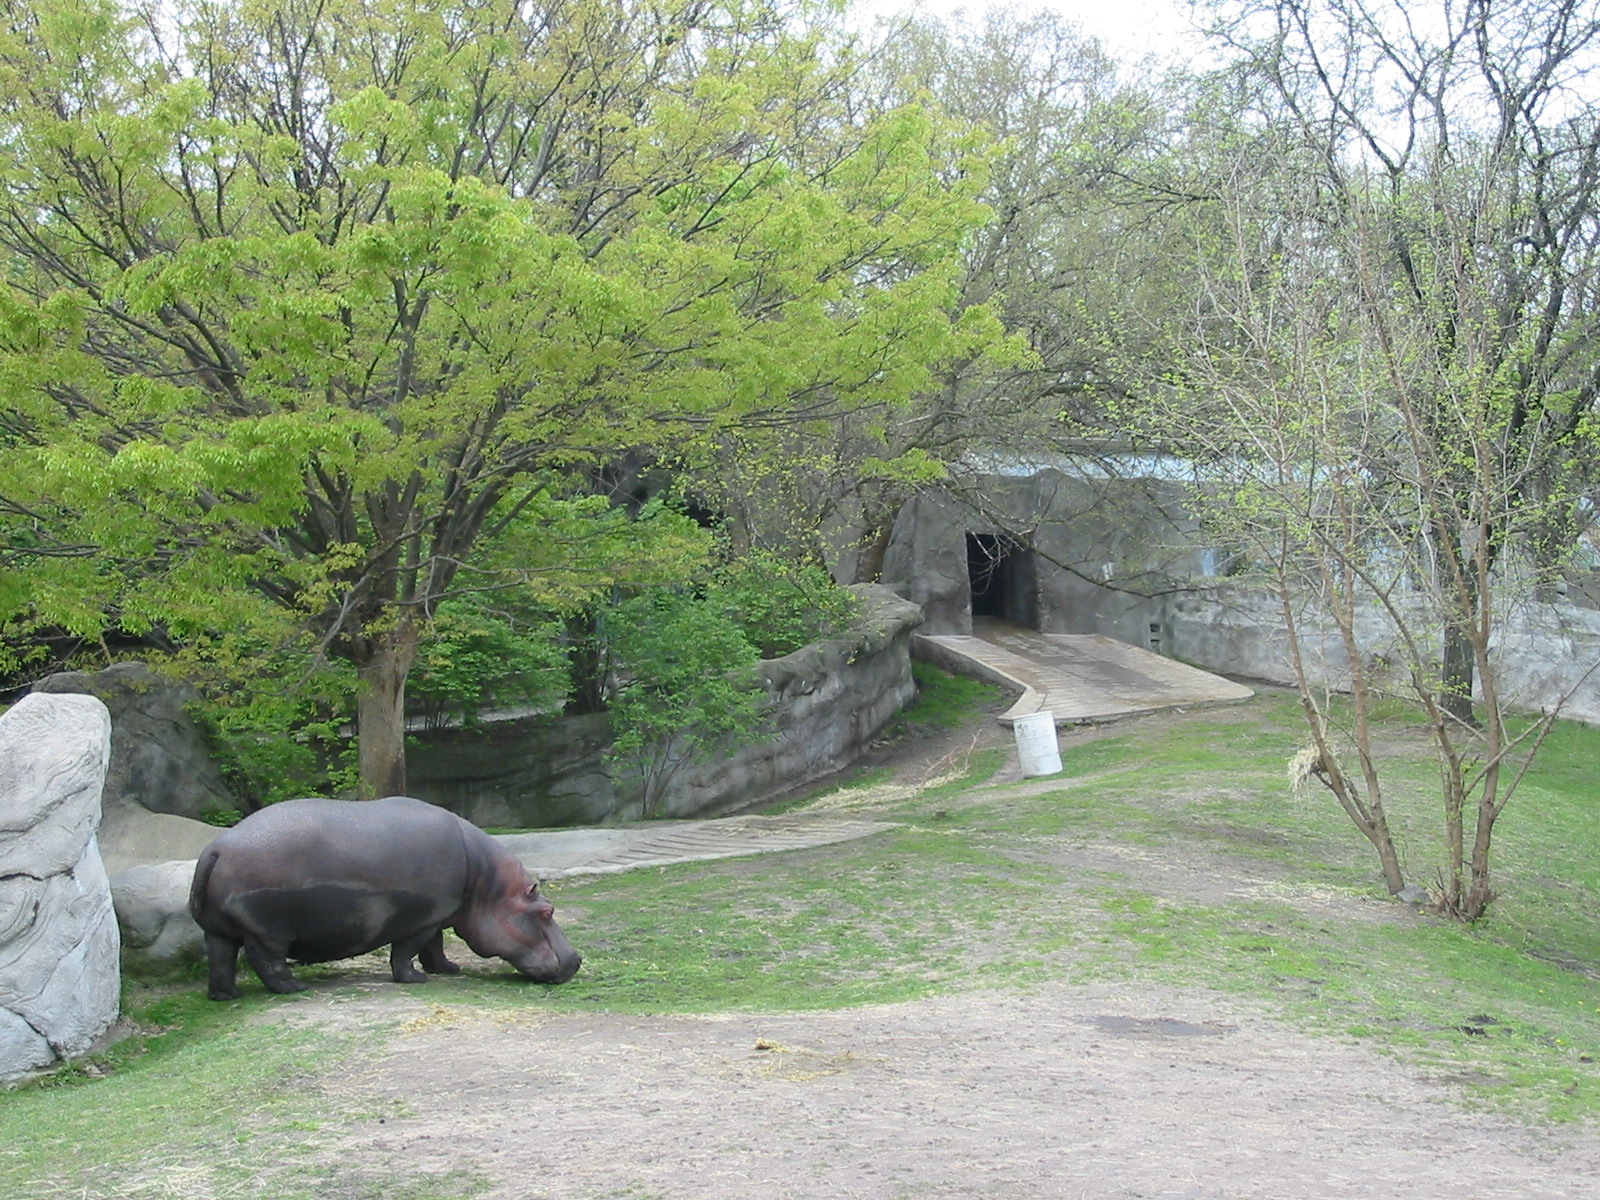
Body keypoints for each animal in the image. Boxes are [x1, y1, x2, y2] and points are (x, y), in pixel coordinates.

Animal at [189, 795, 581, 1000]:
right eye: (547, 911)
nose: (577, 960)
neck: (487, 885)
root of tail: (215, 849)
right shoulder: (423, 918)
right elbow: (408, 951)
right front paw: (417, 980)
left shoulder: (438, 914)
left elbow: (435, 947)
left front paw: (447, 970)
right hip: (267, 928)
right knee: (266, 960)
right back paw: (294, 987)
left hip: (218, 930)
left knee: (221, 959)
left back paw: (227, 996)